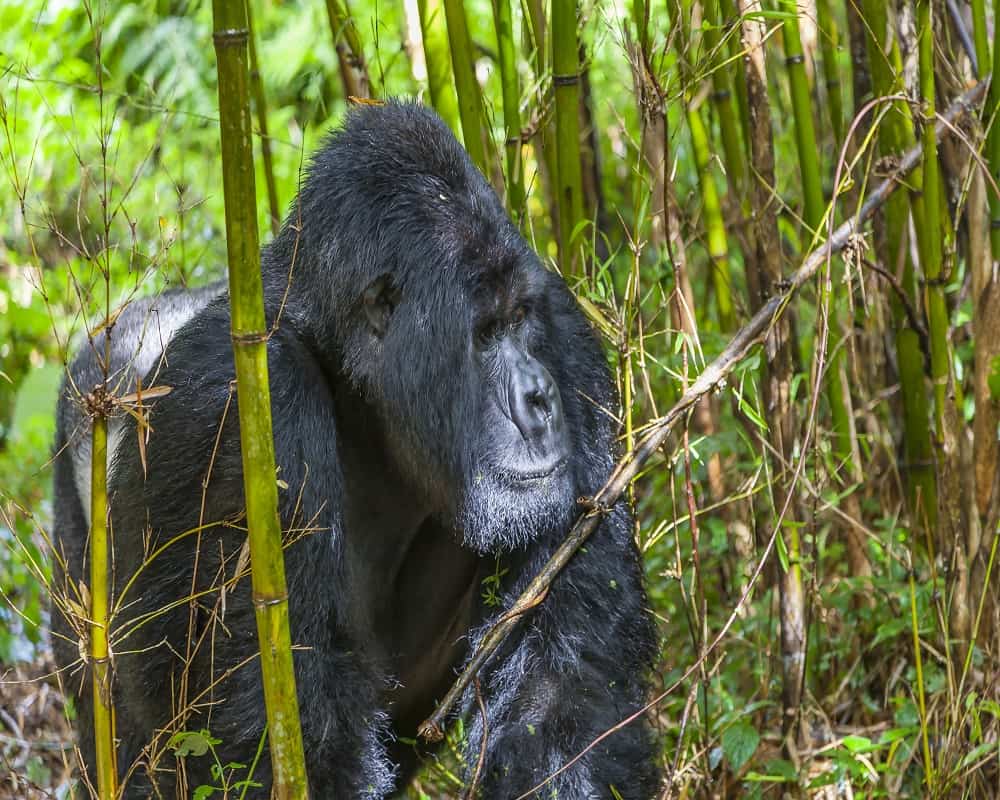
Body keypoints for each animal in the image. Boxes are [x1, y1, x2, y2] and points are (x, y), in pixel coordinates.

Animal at [54, 103, 664, 796]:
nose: (540, 398)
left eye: (520, 319)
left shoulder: (566, 335)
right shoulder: (236, 408)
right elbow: (277, 732)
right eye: (484, 333)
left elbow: (561, 693)